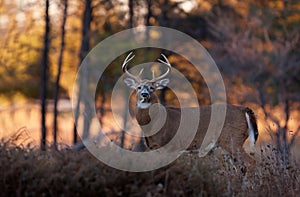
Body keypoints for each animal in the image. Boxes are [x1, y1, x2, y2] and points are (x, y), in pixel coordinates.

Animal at [123, 51, 258, 172]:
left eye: (152, 88)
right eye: (138, 87)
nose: (144, 94)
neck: (152, 124)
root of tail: (244, 109)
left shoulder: (169, 146)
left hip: (232, 139)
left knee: (251, 162)